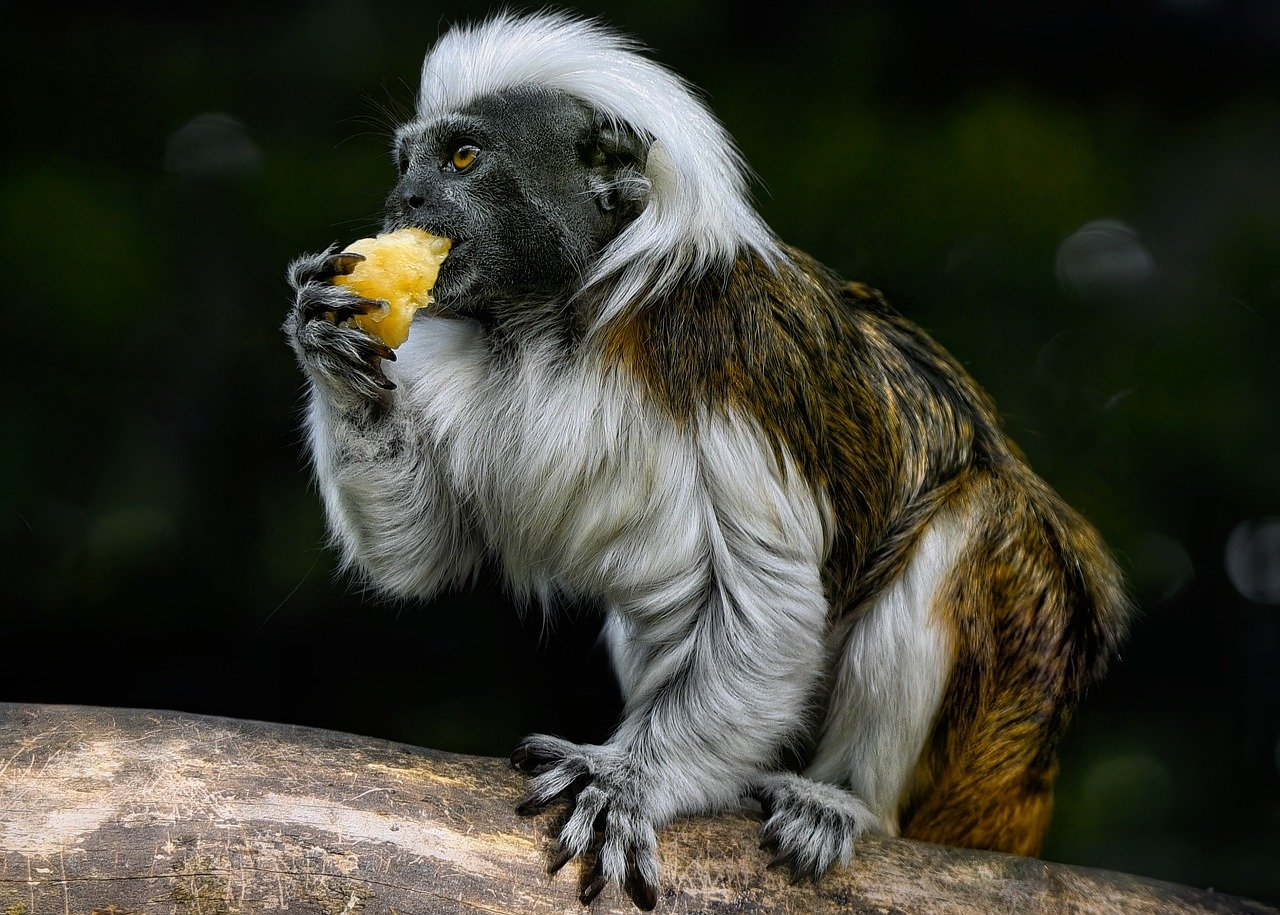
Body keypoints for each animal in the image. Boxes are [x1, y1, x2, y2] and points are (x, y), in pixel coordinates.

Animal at [282, 10, 1131, 911]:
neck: (555, 322)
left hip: (1001, 722)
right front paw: (326, 335)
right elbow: (427, 551)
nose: (402, 202)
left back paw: (844, 800)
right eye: (406, 166)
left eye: (464, 159)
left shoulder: (726, 357)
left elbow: (769, 601)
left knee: (974, 523)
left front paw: (630, 779)